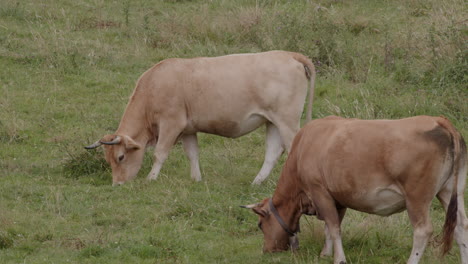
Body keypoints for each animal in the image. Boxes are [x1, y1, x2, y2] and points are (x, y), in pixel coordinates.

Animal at [86, 50, 316, 186]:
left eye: (120, 157)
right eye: (108, 160)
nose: (117, 184)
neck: (153, 85)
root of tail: (288, 54)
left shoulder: (171, 124)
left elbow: (160, 153)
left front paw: (151, 178)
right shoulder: (188, 129)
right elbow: (192, 154)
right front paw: (196, 179)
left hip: (287, 121)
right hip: (272, 122)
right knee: (273, 152)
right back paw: (256, 182)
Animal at [243, 115, 466, 264]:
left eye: (261, 225)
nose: (267, 250)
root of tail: (439, 121)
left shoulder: (319, 191)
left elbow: (333, 226)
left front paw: (338, 258)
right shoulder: (338, 198)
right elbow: (330, 227)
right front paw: (326, 253)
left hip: (417, 197)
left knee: (422, 231)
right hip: (450, 191)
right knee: (462, 227)